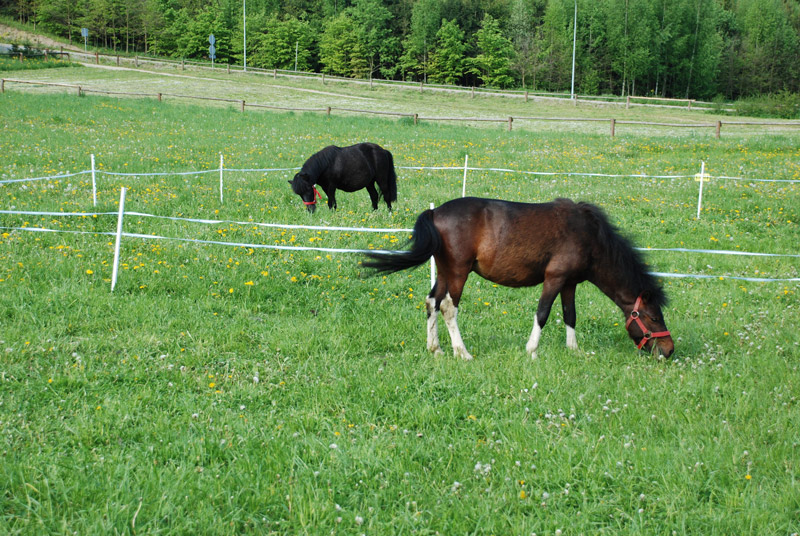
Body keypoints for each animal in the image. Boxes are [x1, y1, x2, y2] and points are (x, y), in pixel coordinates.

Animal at [364, 197, 676, 360]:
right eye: (654, 318)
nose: (669, 350)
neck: (590, 236)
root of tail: (434, 211)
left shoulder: (570, 283)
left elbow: (570, 315)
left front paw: (573, 349)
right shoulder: (554, 278)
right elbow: (543, 313)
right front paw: (532, 350)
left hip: (444, 272)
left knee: (432, 302)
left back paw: (436, 348)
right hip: (458, 273)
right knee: (448, 307)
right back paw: (462, 352)